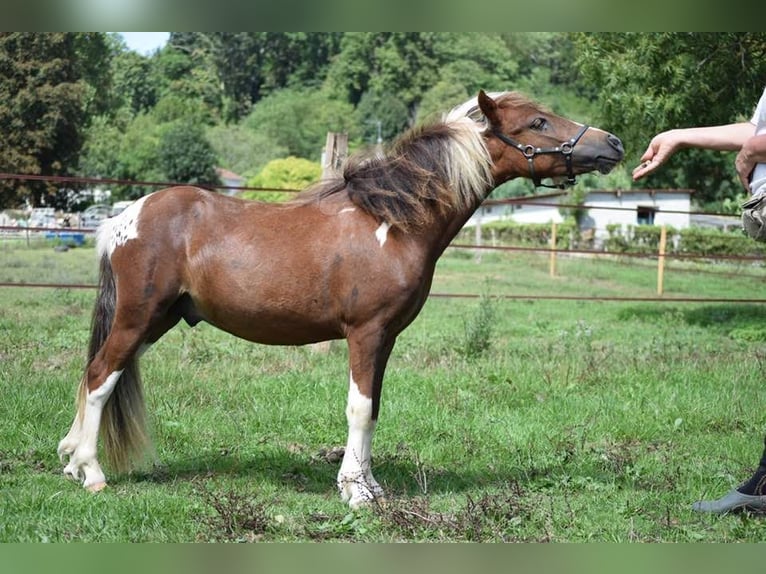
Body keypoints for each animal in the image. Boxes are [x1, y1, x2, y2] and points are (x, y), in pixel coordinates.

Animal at [57, 90, 624, 508]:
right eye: (537, 122)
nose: (613, 143)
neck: (392, 220)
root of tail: (123, 218)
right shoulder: (365, 333)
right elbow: (359, 407)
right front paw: (356, 493)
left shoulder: (386, 339)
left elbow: (374, 410)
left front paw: (370, 485)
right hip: (138, 317)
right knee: (100, 376)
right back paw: (90, 472)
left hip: (158, 321)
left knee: (96, 375)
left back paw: (69, 461)